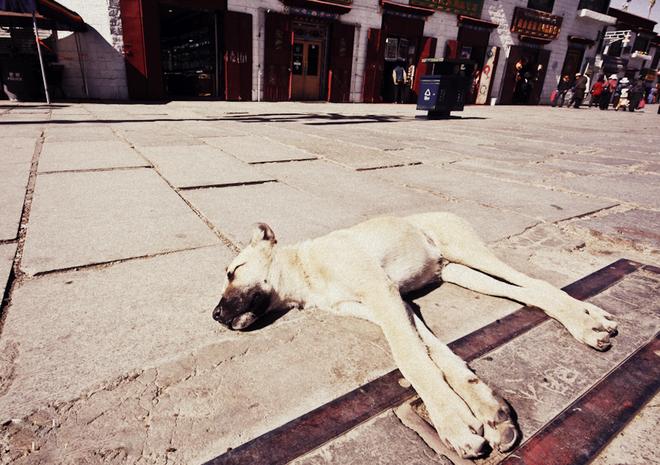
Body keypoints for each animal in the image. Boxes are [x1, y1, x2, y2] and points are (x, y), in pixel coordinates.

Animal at [213, 212, 620, 458]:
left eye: (233, 271)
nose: (215, 316)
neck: (308, 273)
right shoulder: (397, 306)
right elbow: (436, 355)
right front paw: (486, 409)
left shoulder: (383, 295)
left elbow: (411, 359)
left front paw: (451, 420)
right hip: (459, 271)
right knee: (530, 293)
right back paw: (593, 317)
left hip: (469, 252)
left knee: (533, 283)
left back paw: (585, 323)